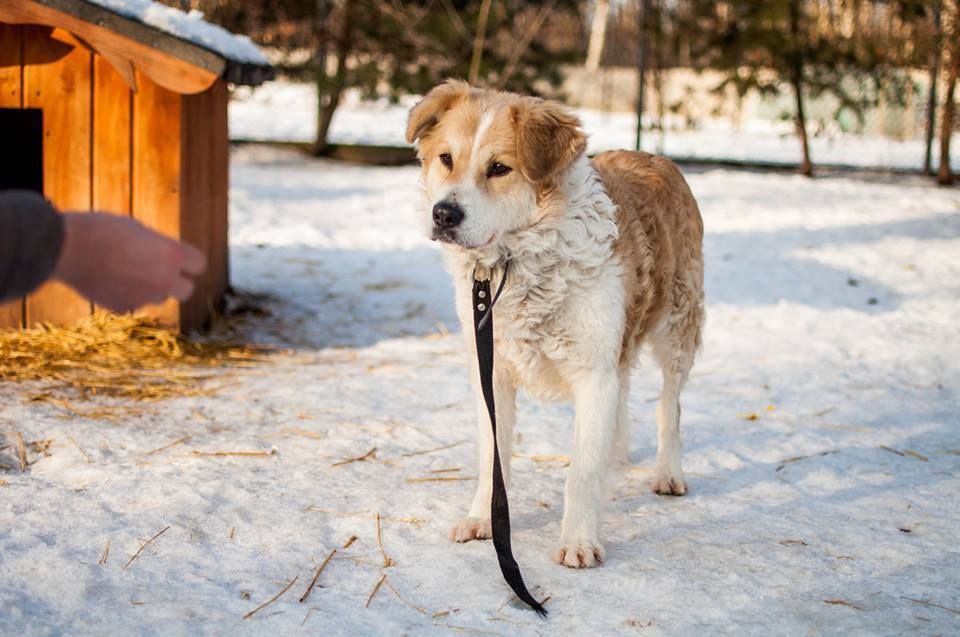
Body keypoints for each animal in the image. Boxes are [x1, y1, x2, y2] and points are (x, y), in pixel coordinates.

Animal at [404, 79, 704, 568]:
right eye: (446, 158)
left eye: (500, 168)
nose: (444, 215)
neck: (519, 262)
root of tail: (655, 157)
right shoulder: (491, 373)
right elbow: (493, 457)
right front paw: (483, 519)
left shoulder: (594, 375)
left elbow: (581, 471)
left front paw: (579, 540)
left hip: (678, 329)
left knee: (670, 407)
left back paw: (667, 472)